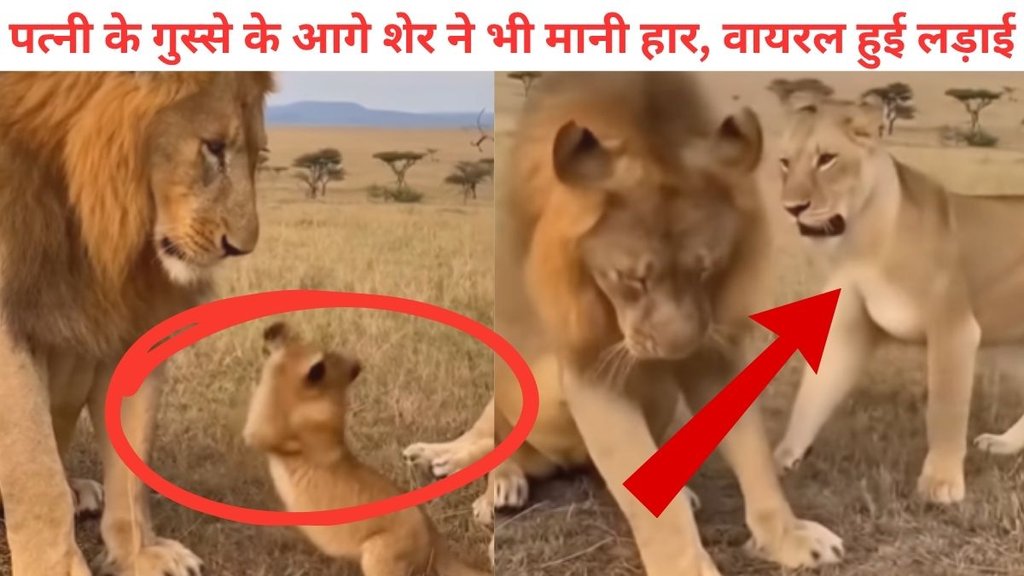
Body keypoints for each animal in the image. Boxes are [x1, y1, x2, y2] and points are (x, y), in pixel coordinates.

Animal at [0, 72, 273, 576]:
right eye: (214, 147)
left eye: (258, 153)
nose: (240, 247)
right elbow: (34, 474)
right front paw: (59, 568)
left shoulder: (133, 322)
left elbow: (132, 459)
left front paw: (140, 553)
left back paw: (81, 491)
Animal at [405, 72, 844, 575]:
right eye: (632, 278)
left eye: (706, 270)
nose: (677, 349)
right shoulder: (592, 365)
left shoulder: (712, 348)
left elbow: (752, 455)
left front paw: (789, 537)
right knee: (487, 435)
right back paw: (482, 476)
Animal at [771, 91, 1024, 503]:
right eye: (784, 162)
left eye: (827, 159)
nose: (793, 208)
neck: (863, 241)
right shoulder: (848, 330)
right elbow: (811, 397)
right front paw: (781, 459)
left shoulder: (954, 329)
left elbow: (945, 409)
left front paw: (942, 483)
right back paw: (1004, 444)